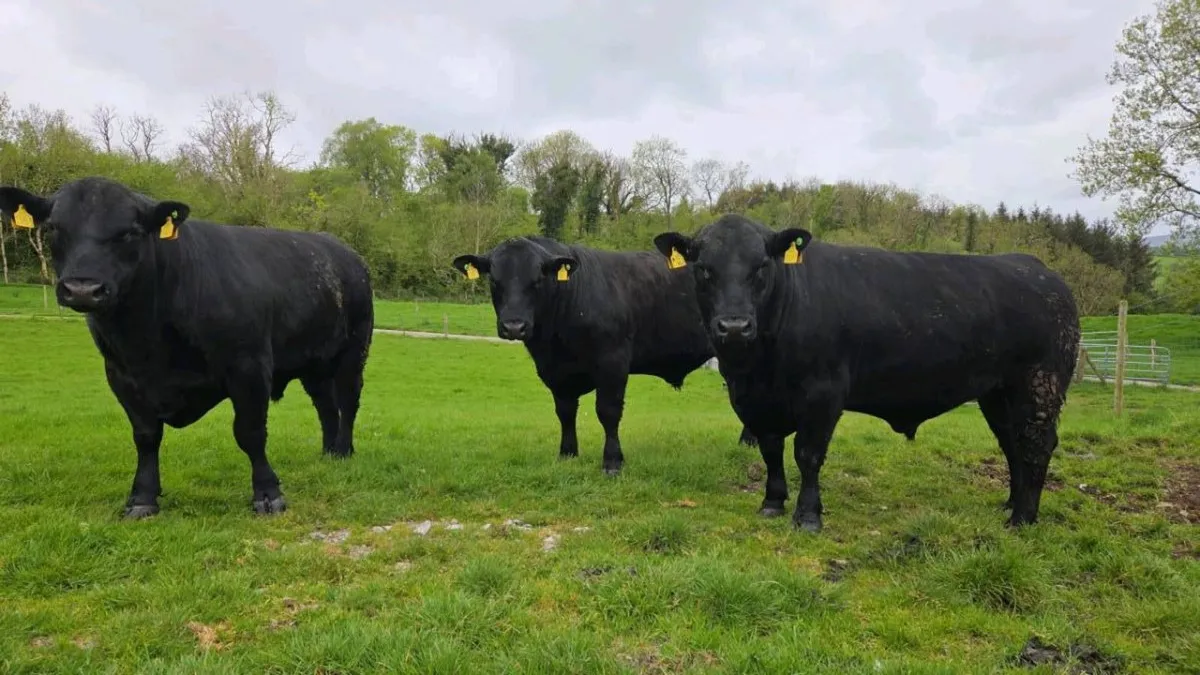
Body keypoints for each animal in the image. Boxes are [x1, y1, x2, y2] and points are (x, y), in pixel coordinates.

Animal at [0, 177, 374, 518]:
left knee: (347, 402)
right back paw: (328, 453)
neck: (148, 341)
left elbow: (250, 432)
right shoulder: (121, 375)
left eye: (130, 232)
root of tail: (344, 252)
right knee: (325, 406)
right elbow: (146, 436)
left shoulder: (249, 366)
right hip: (315, 363)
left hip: (353, 352)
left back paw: (344, 450)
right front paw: (142, 499)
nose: (82, 289)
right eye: (53, 228)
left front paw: (268, 495)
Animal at [451, 236, 756, 474]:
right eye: (494, 279)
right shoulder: (555, 371)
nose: (514, 326)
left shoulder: (613, 362)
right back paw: (749, 442)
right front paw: (567, 454)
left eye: (537, 279)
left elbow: (607, 412)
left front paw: (612, 462)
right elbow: (565, 412)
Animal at [653, 214, 1080, 531]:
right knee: (1012, 444)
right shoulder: (755, 401)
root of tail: (1036, 267)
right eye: (703, 269)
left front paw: (808, 516)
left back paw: (1023, 519)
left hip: (1039, 383)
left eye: (761, 266)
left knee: (1037, 444)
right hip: (997, 393)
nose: (734, 326)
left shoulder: (823, 393)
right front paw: (772, 502)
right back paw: (1009, 505)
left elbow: (808, 454)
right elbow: (771, 449)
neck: (758, 367)